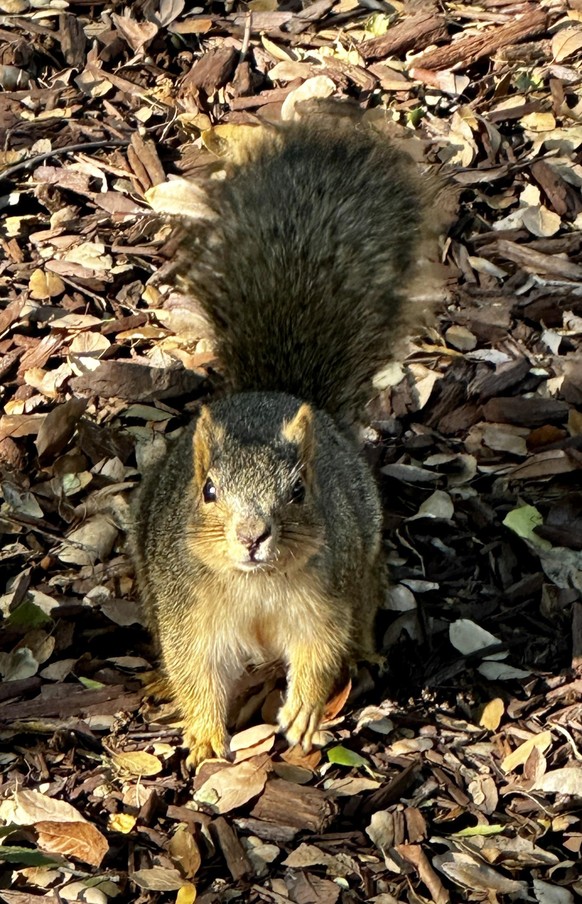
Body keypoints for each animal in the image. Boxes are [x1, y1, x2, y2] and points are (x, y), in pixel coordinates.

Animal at [130, 115, 442, 768]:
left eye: (298, 492)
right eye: (208, 491)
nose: (253, 536)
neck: (257, 586)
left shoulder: (325, 599)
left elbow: (321, 651)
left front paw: (303, 710)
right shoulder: (189, 614)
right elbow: (194, 670)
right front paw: (204, 733)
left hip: (362, 563)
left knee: (365, 607)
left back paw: (366, 653)